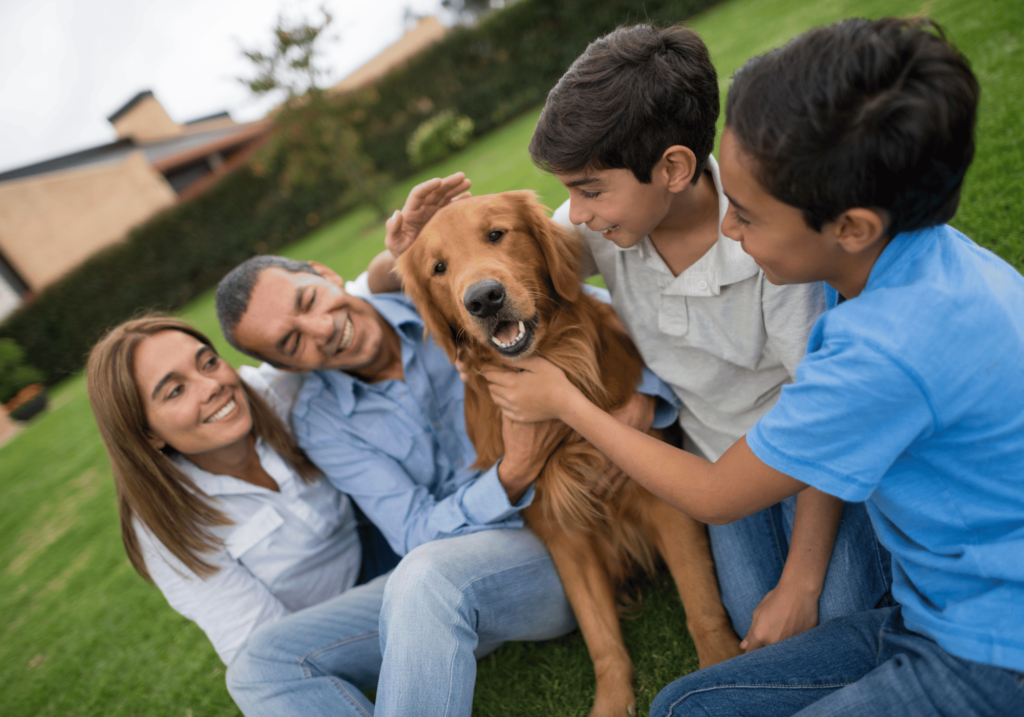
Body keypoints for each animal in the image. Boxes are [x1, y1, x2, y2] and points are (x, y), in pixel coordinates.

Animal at [395, 191, 741, 717]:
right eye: (438, 267)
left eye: (496, 234)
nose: (483, 299)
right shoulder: (561, 530)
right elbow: (599, 635)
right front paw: (613, 701)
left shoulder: (663, 497)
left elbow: (700, 601)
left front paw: (720, 663)